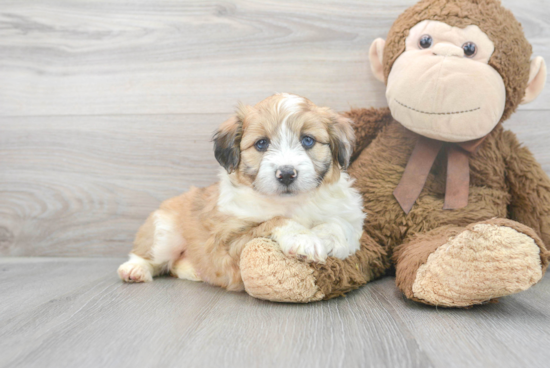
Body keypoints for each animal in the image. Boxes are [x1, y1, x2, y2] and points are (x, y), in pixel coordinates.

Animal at [117, 93, 366, 292]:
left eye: (307, 140)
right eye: (261, 144)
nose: (286, 174)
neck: (292, 202)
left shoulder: (349, 216)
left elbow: (340, 224)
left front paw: (331, 239)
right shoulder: (227, 241)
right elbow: (275, 220)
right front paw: (303, 238)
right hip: (166, 233)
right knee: (151, 256)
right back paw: (135, 269)